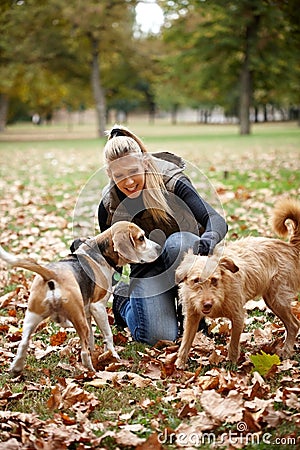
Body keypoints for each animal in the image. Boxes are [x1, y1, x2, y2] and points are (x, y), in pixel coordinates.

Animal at [176, 199, 300, 368]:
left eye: (214, 280)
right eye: (196, 281)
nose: (207, 304)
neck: (222, 292)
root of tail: (289, 247)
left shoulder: (238, 316)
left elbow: (233, 344)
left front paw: (232, 364)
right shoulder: (192, 317)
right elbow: (185, 343)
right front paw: (179, 364)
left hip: (277, 300)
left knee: (294, 324)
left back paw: (286, 352)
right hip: (272, 300)